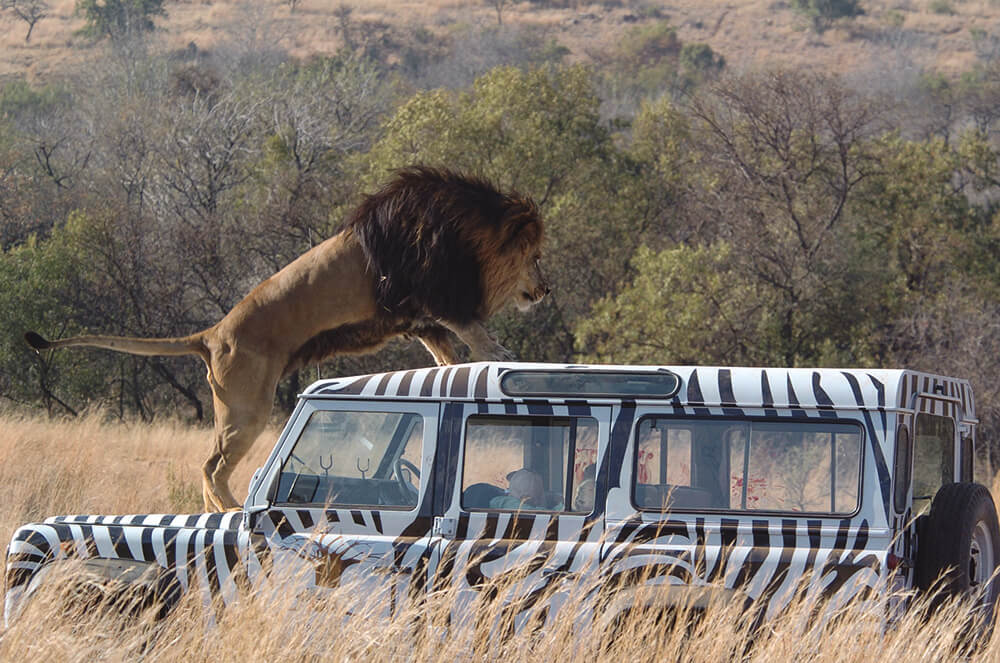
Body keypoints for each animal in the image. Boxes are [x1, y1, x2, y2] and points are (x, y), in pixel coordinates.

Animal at [23, 167, 552, 512]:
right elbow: (467, 327)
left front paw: (453, 368)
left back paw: (217, 511)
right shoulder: (425, 290)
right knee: (211, 465)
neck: (464, 232)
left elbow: (442, 342)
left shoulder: (411, 312)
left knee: (208, 465)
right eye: (537, 256)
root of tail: (212, 334)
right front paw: (496, 353)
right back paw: (233, 509)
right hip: (247, 408)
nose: (546, 290)